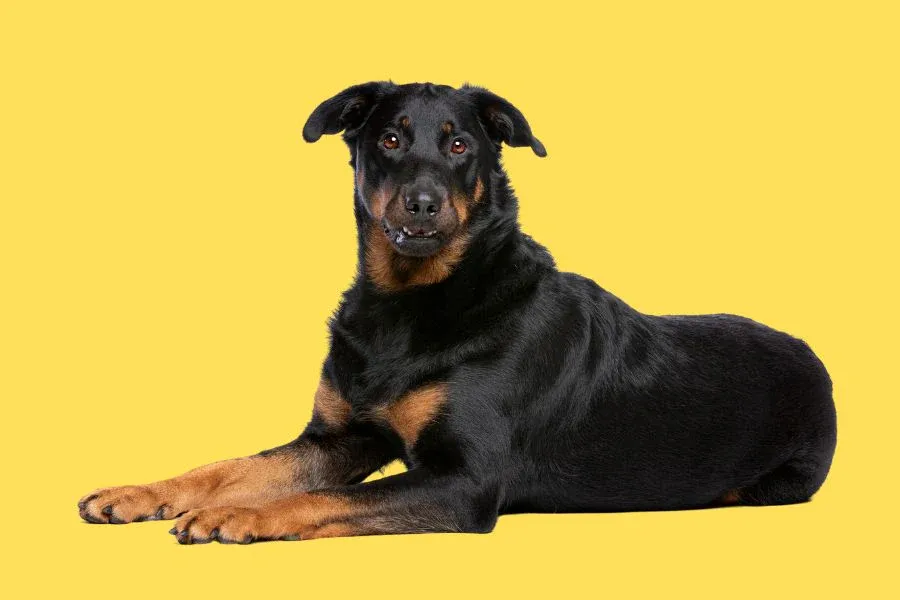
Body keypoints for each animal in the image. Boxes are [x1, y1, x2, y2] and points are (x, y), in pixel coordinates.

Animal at [78, 82, 837, 544]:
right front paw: (142, 492)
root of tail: (813, 355)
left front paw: (236, 512)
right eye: (389, 140)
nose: (422, 203)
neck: (408, 304)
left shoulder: (465, 481)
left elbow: (317, 499)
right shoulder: (341, 438)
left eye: (459, 144)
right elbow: (232, 464)